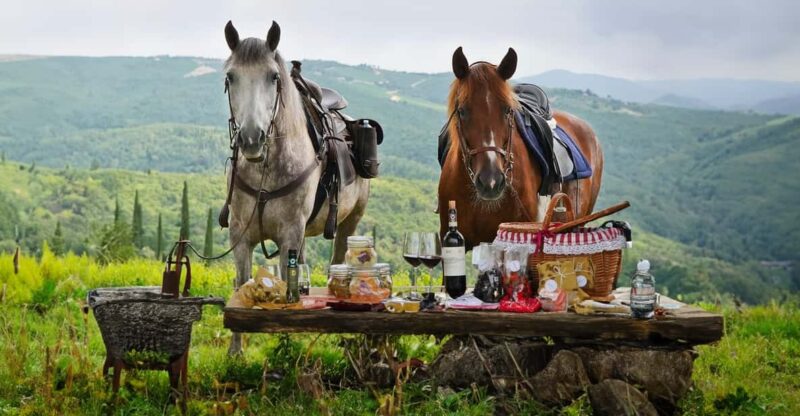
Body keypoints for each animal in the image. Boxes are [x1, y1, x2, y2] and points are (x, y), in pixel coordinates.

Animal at [222, 21, 370, 354]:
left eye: (273, 76)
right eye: (231, 76)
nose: (252, 139)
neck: (266, 172)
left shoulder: (290, 232)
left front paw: (285, 338)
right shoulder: (240, 234)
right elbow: (242, 282)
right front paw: (236, 350)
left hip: (350, 221)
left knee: (338, 258)